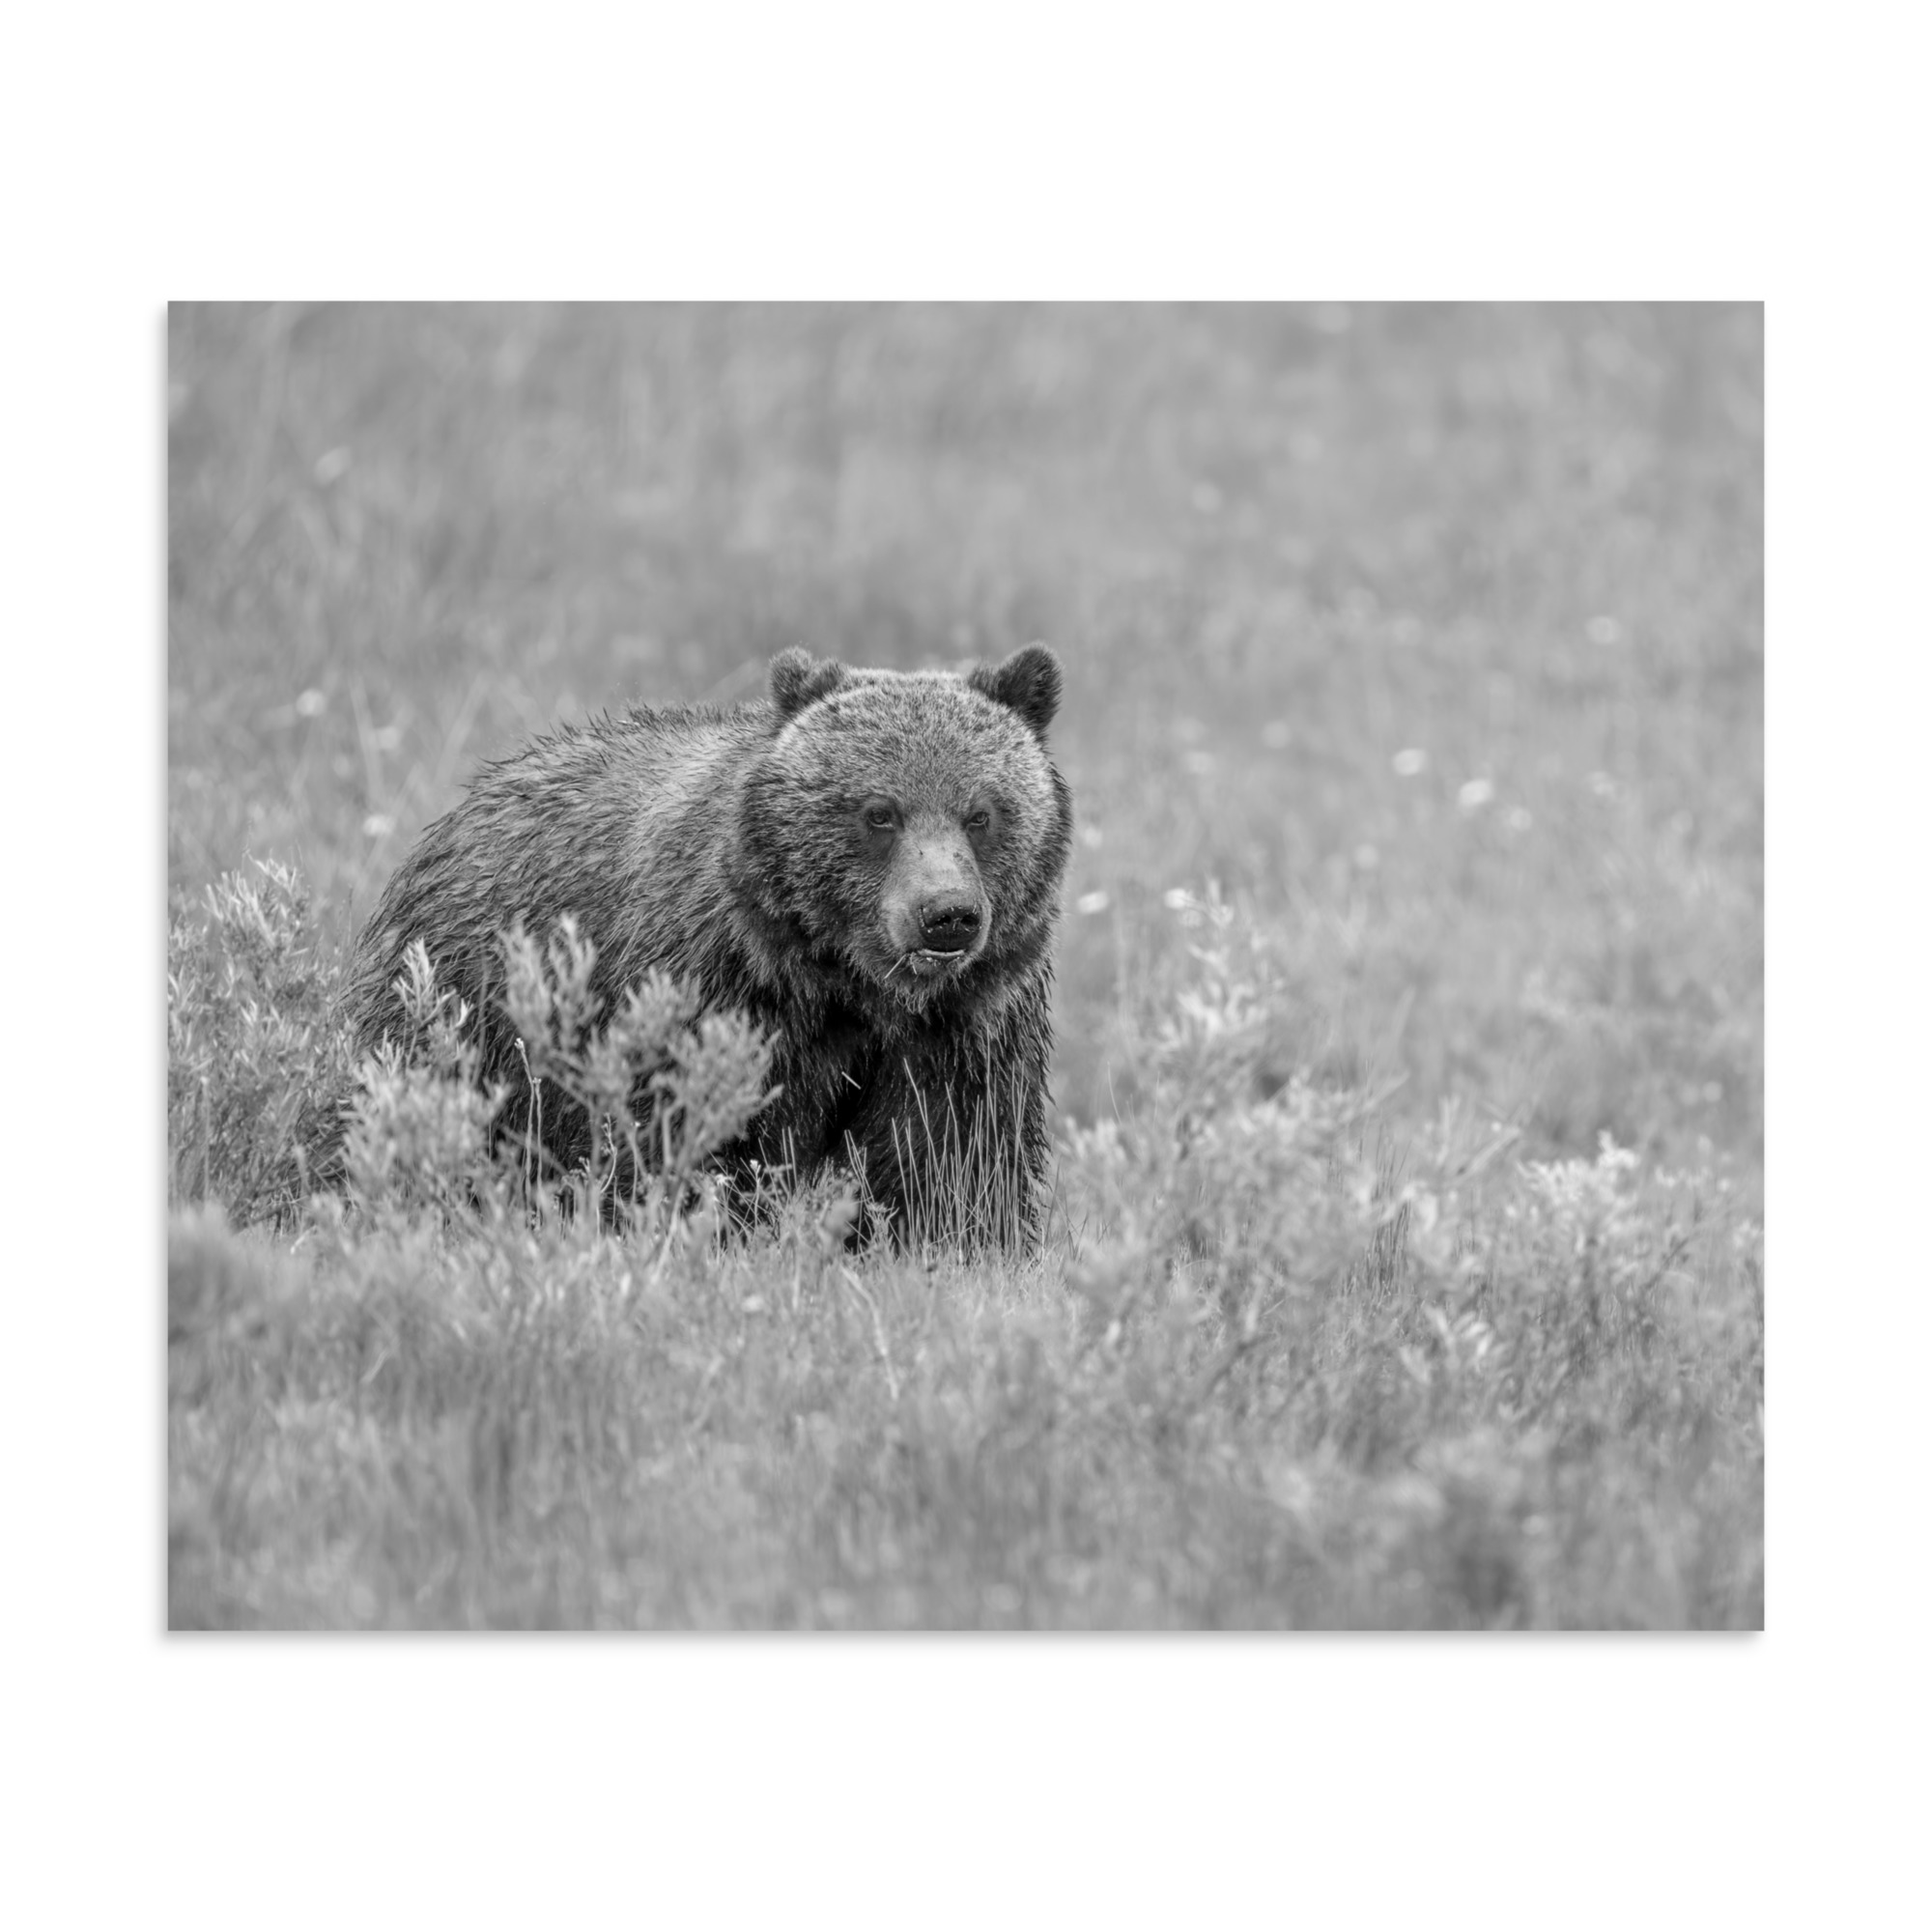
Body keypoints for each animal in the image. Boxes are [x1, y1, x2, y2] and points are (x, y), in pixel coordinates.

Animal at [334, 644, 1073, 1248]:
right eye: (879, 812)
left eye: (981, 813)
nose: (946, 915)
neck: (847, 984)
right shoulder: (716, 989)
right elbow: (691, 1136)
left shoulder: (967, 1024)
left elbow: (954, 1159)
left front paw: (958, 1245)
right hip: (467, 1006)